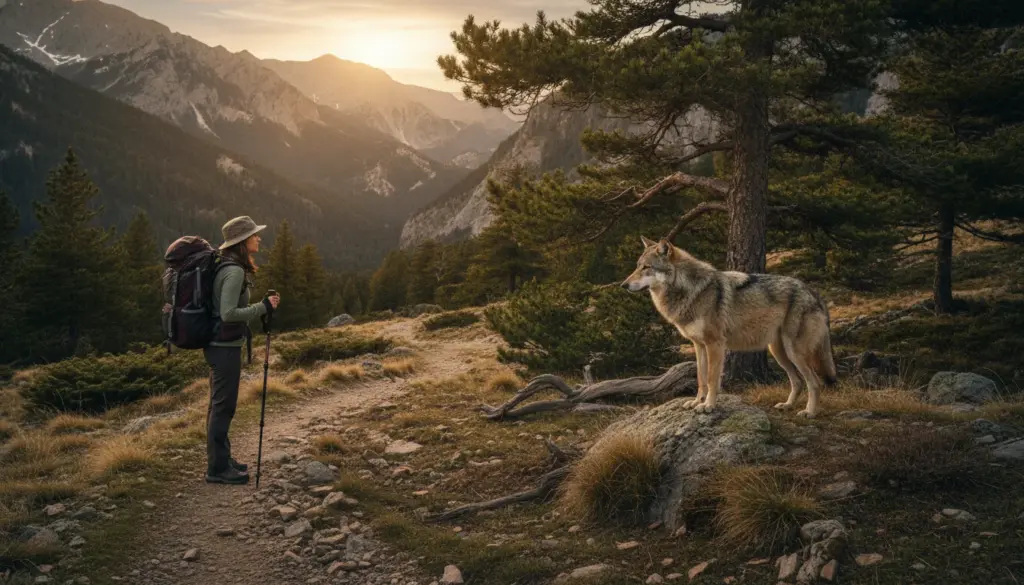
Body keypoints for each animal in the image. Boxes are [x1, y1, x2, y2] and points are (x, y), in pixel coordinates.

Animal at [621, 236, 837, 417]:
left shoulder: (715, 344)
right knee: (798, 382)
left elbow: (711, 379)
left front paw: (708, 406)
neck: (690, 291)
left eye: (646, 267)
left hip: (794, 352)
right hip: (778, 352)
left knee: (815, 382)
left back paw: (809, 412)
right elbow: (700, 378)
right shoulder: (699, 345)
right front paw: (696, 402)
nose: (623, 285)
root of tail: (814, 293)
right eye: (637, 267)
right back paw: (787, 405)